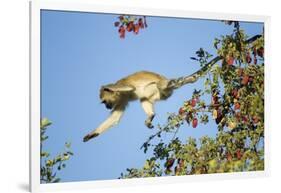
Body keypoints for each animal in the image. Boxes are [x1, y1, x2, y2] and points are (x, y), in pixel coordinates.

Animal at [82, 55, 220, 142]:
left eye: (105, 102)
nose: (106, 106)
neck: (118, 94)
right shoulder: (121, 99)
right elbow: (115, 118)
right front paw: (91, 135)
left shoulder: (120, 88)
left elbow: (131, 88)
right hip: (159, 95)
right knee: (143, 98)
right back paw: (151, 115)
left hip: (160, 88)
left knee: (158, 86)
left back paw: (175, 82)